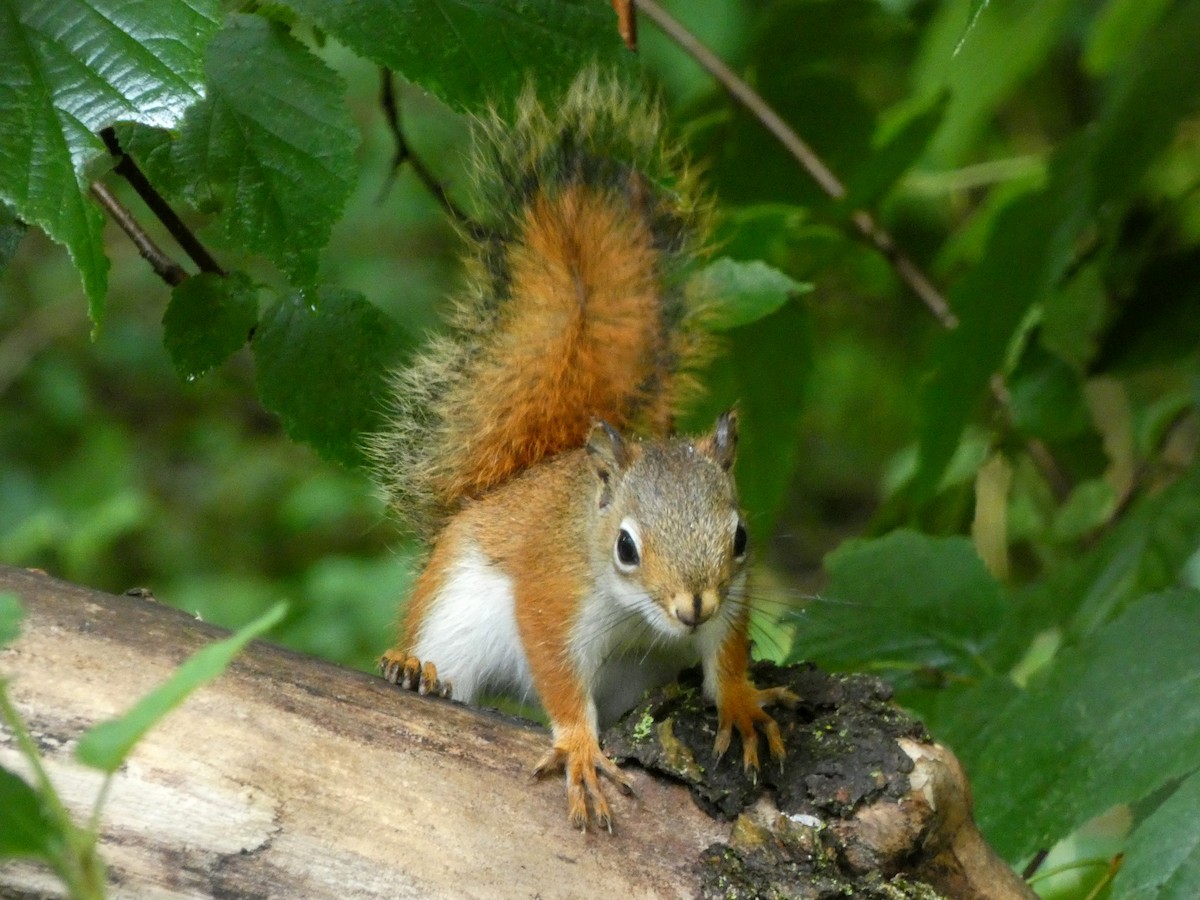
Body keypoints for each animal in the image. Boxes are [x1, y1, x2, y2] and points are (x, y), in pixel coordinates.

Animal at [370, 69, 796, 832]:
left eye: (741, 537)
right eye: (625, 547)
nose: (692, 606)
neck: (640, 619)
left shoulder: (732, 600)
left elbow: (727, 655)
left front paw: (744, 702)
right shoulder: (552, 593)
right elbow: (560, 678)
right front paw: (577, 746)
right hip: (452, 612)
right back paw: (415, 671)